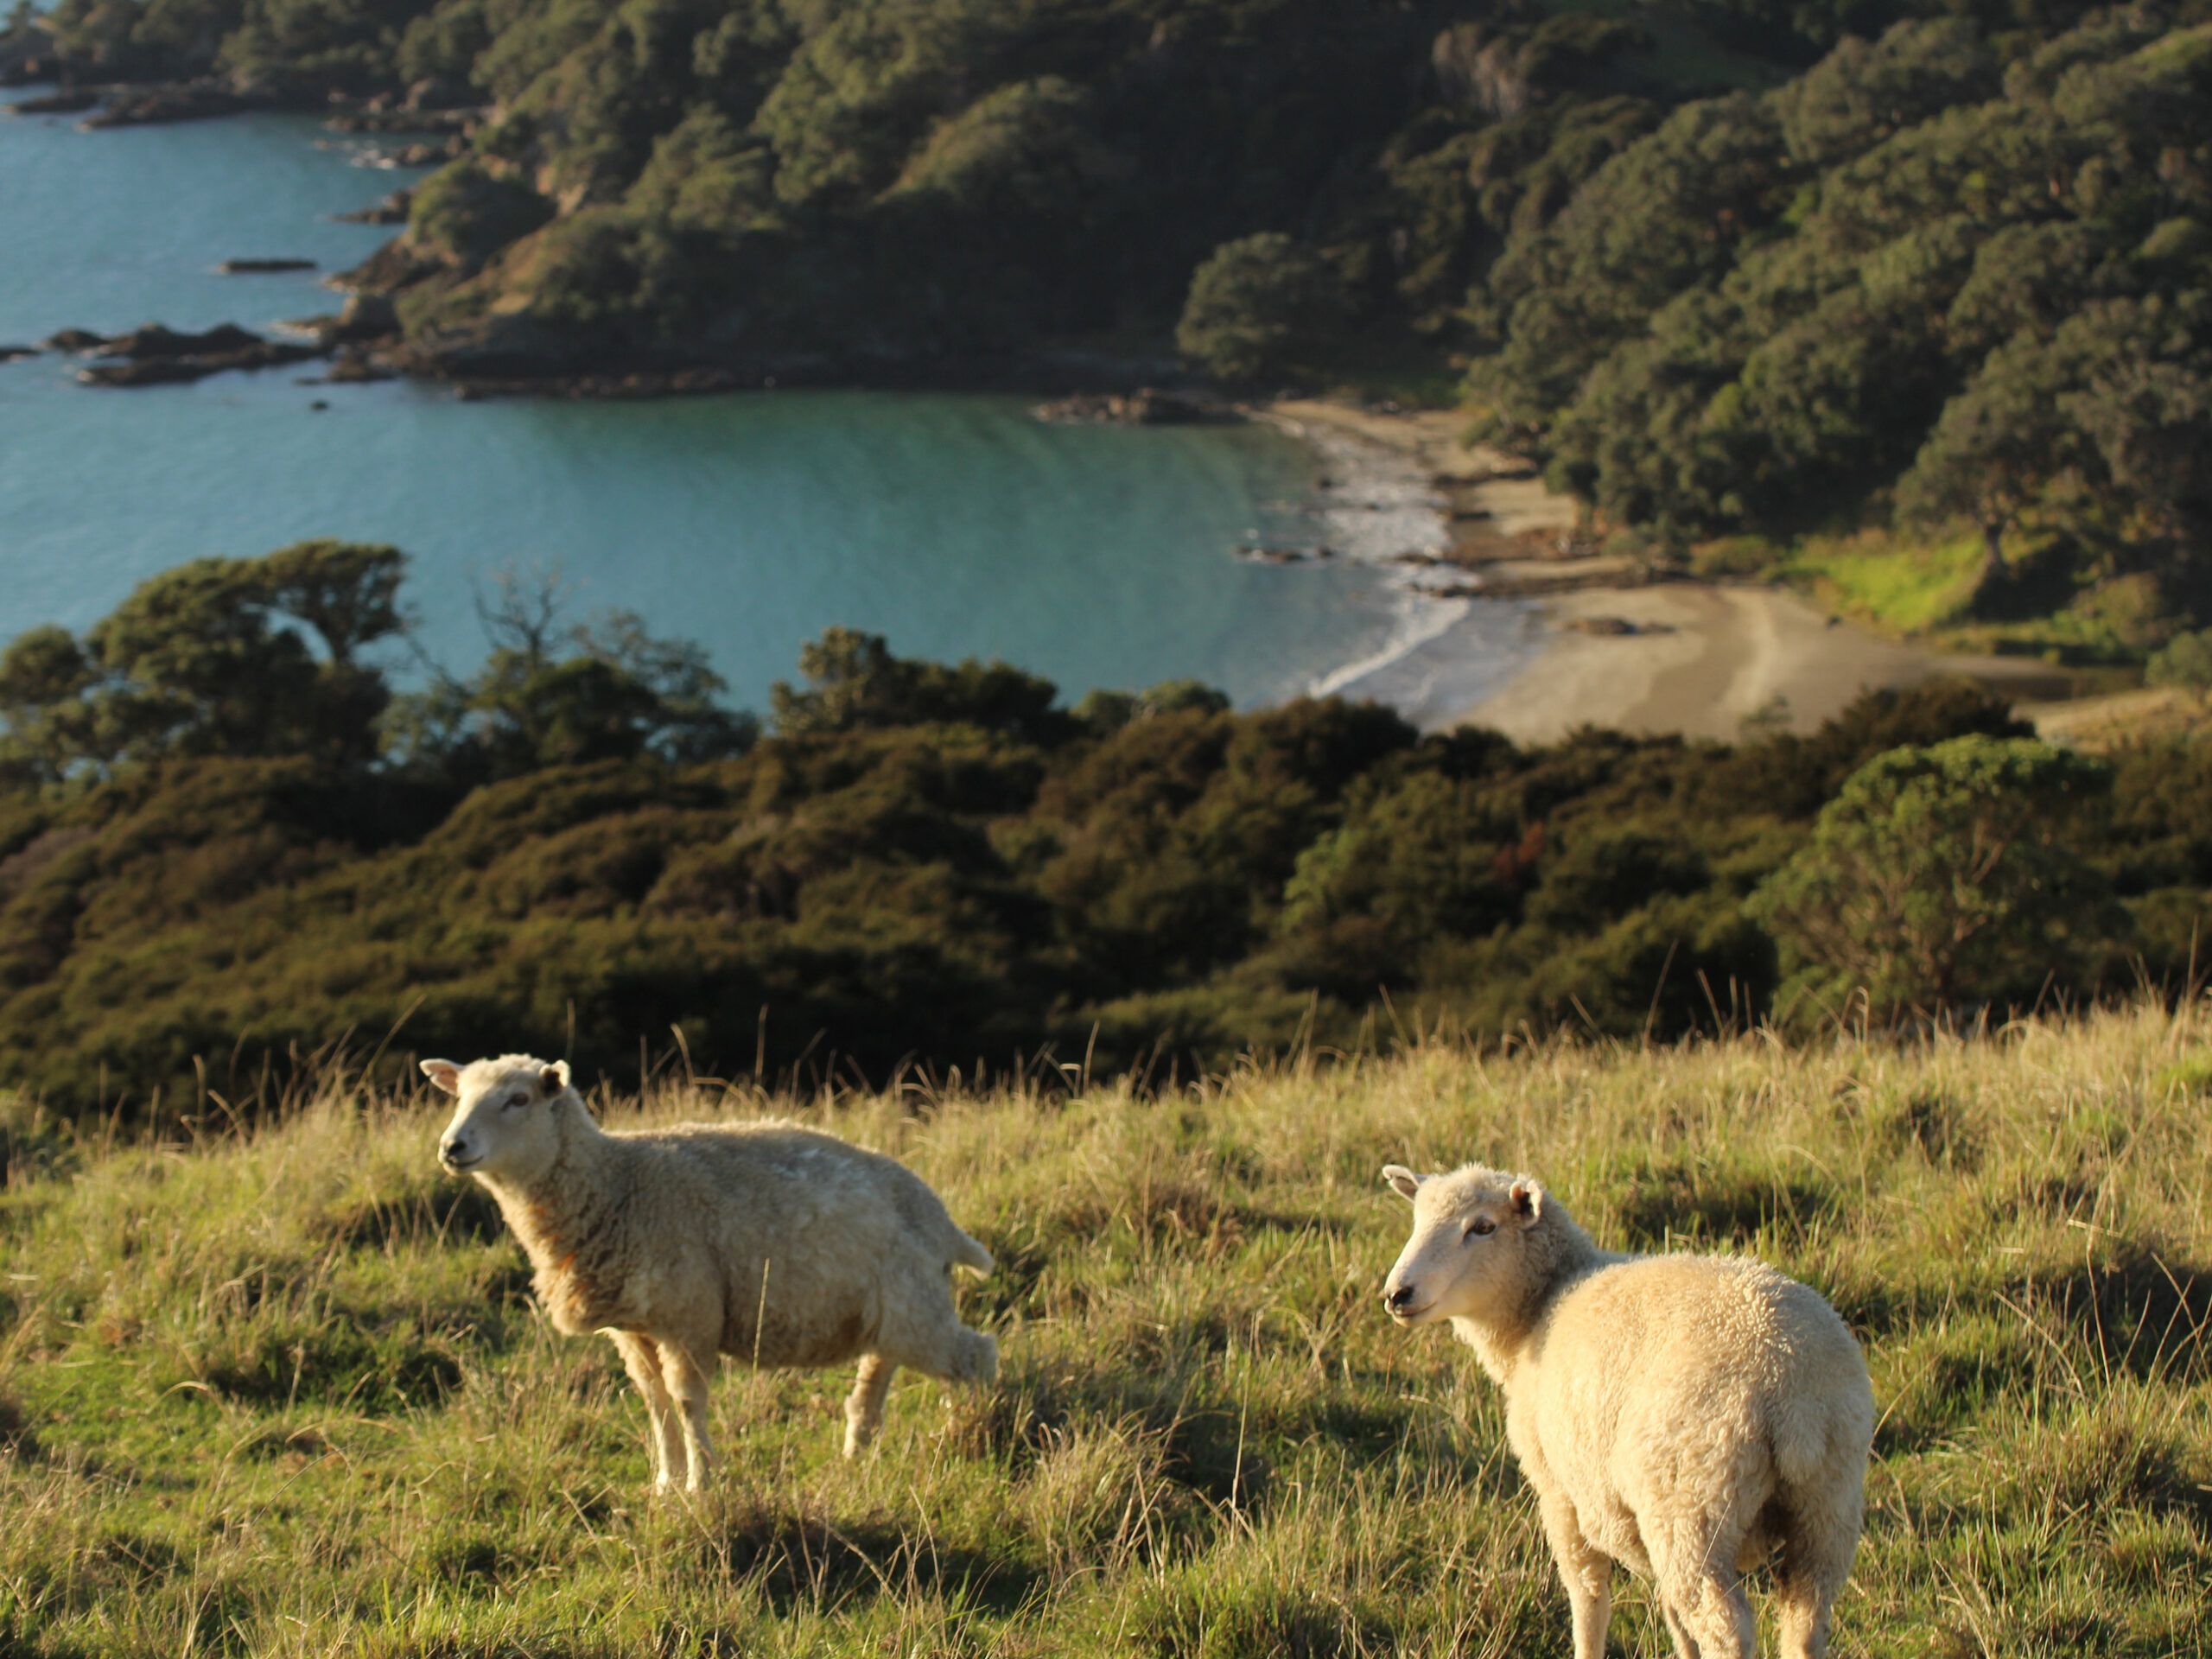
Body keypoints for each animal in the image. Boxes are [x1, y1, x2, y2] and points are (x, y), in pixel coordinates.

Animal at [427, 1053, 998, 1489]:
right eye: (459, 1097)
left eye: (518, 1100)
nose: (452, 1147)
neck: (619, 1185)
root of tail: (939, 1215)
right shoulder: (633, 1329)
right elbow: (655, 1404)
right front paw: (666, 1485)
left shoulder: (688, 1317)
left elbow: (685, 1402)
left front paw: (701, 1485)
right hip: (891, 1309)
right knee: (876, 1380)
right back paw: (857, 1455)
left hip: (915, 1304)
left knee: (976, 1357)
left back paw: (970, 1436)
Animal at [1380, 1163, 1872, 1659]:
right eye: (1417, 1219)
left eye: (1483, 1227)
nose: (1397, 1294)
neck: (1539, 1310)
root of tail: (1792, 1392)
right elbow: (1674, 1619)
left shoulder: (1560, 1492)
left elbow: (1589, 1601)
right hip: (1826, 1510)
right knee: (1804, 1624)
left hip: (1692, 1509)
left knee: (1727, 1627)